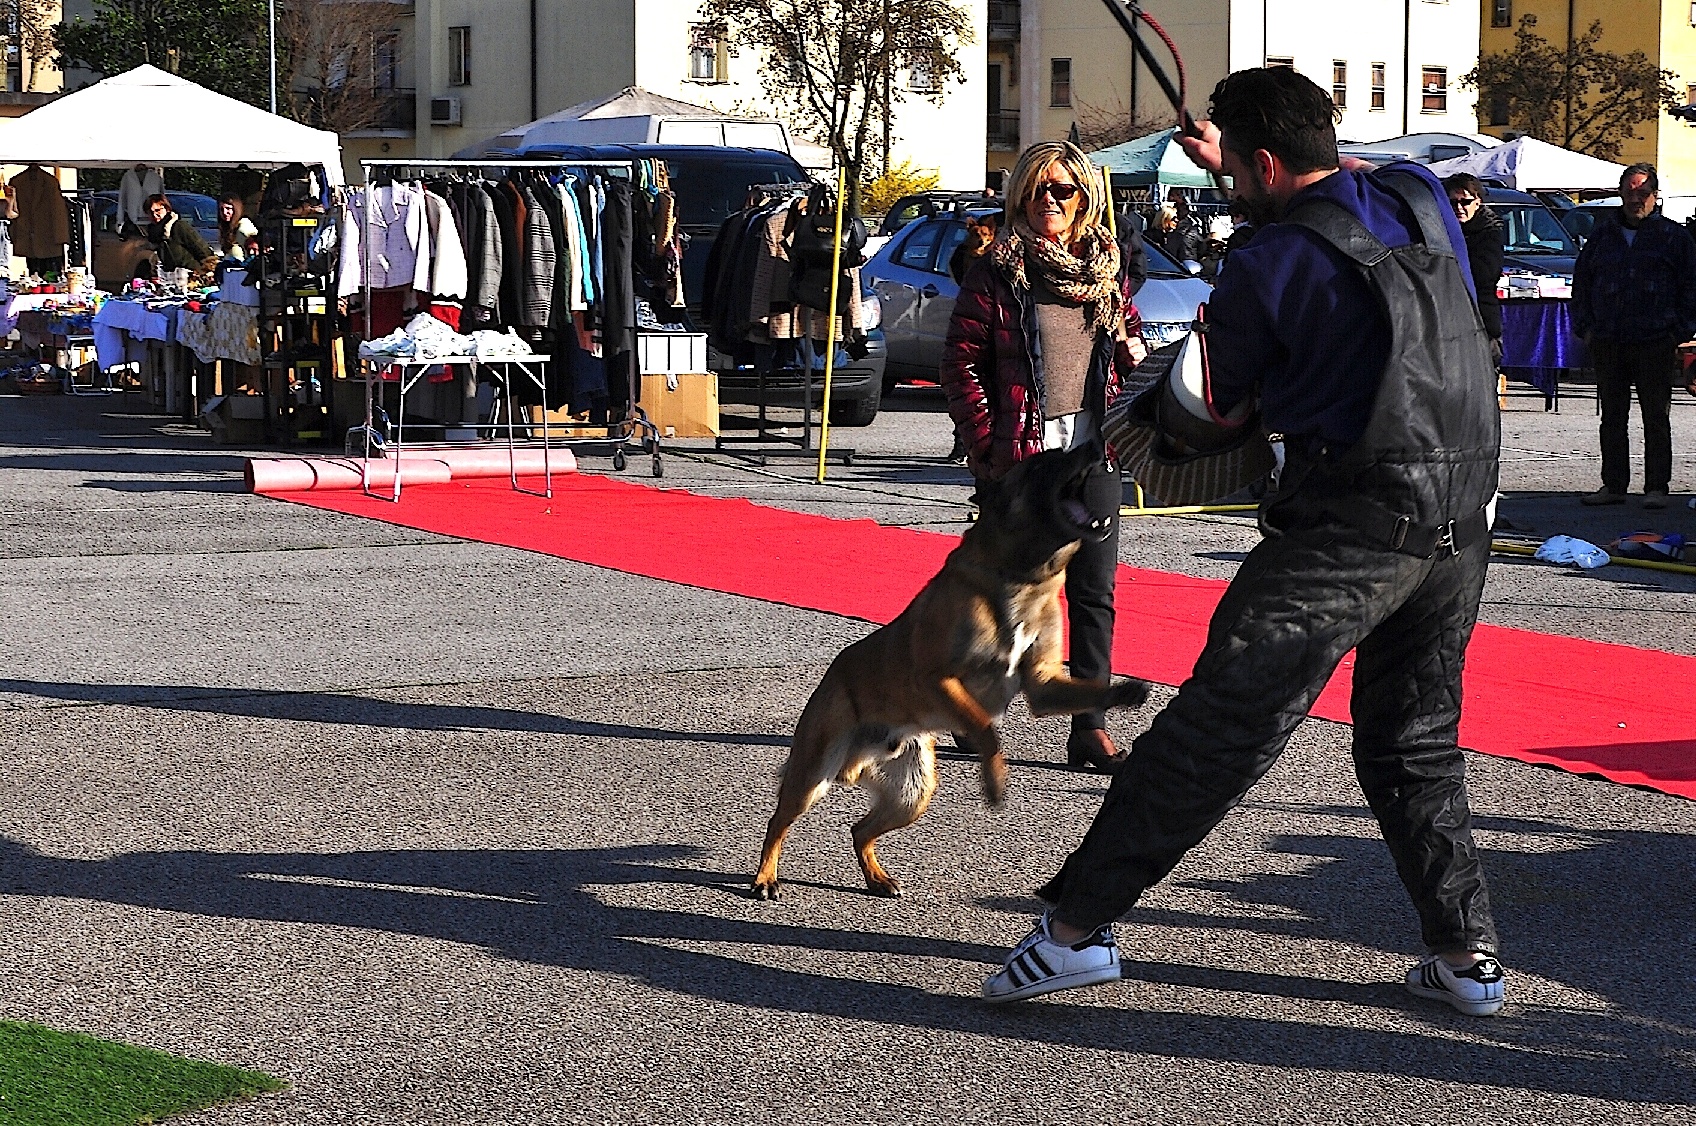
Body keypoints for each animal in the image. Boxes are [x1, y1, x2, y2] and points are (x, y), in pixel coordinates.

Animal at [756, 444, 1153, 902]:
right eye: (1044, 461)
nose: (1097, 446)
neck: (1020, 577)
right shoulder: (939, 680)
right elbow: (985, 728)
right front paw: (994, 778)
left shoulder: (1044, 686)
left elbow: (1088, 689)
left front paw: (1127, 692)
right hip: (814, 774)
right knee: (779, 821)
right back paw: (765, 877)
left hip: (913, 793)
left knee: (859, 830)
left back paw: (877, 878)